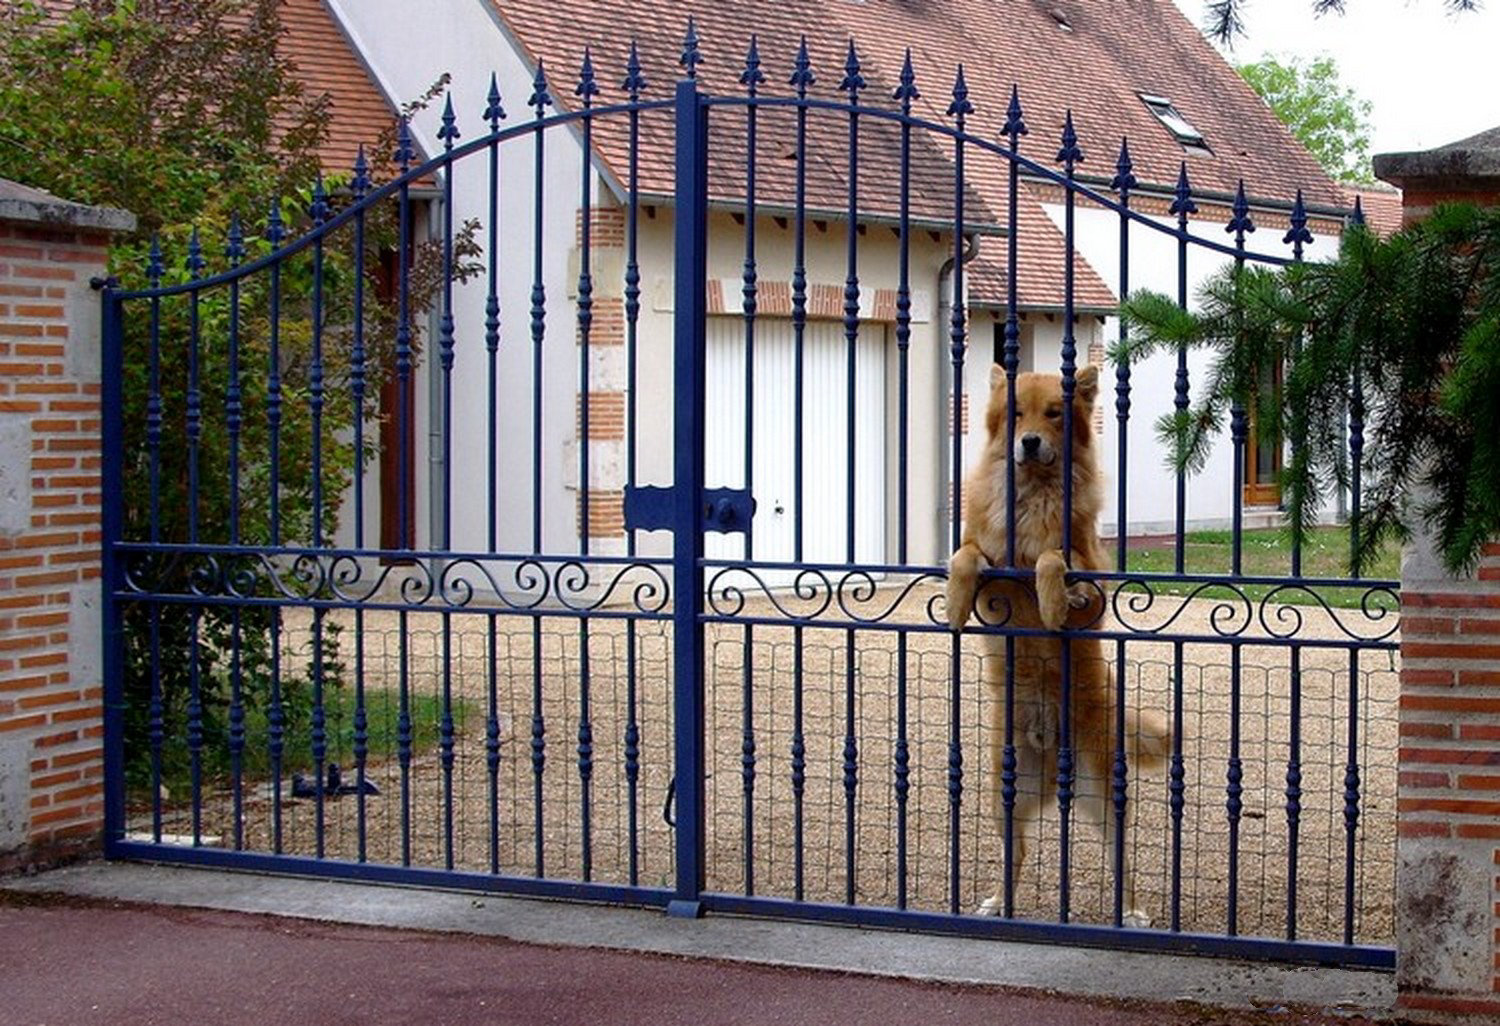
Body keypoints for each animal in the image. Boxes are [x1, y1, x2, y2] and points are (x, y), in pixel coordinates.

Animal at [942, 364, 1164, 924]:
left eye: (1055, 414)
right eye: (1017, 413)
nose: (1029, 441)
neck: (1033, 495)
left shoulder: (1093, 581)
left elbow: (1052, 560)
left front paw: (1052, 603)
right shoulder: (990, 580)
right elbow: (966, 555)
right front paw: (954, 604)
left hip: (1101, 794)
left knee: (1119, 856)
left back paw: (1131, 911)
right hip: (1008, 795)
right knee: (1015, 852)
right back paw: (998, 901)